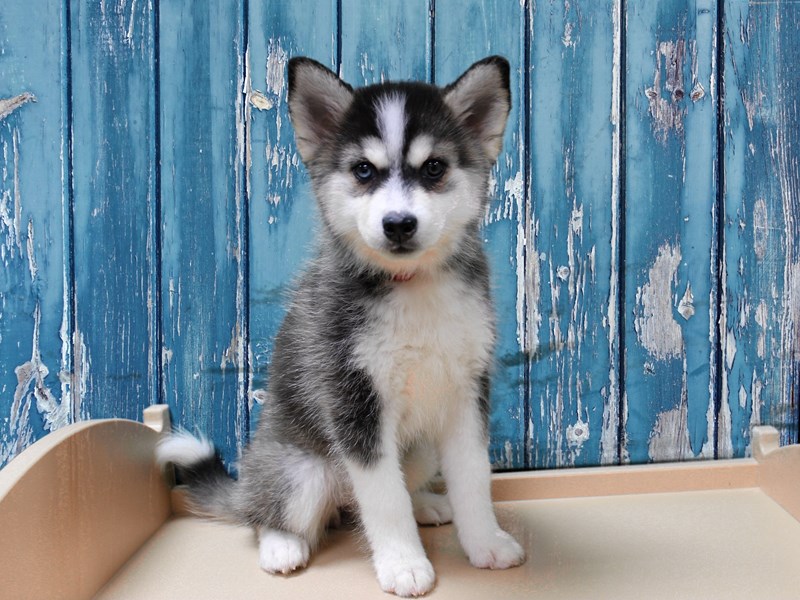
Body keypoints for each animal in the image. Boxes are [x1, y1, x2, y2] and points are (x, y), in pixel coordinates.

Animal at [156, 55, 524, 597]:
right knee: (272, 513)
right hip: (301, 471)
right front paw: (403, 564)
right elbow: (384, 500)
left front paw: (486, 543)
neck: (410, 286)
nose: (399, 224)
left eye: (434, 168)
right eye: (363, 171)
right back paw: (282, 545)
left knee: (373, 496)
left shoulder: (466, 393)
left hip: (418, 450)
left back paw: (427, 503)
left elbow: (474, 478)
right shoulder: (354, 400)